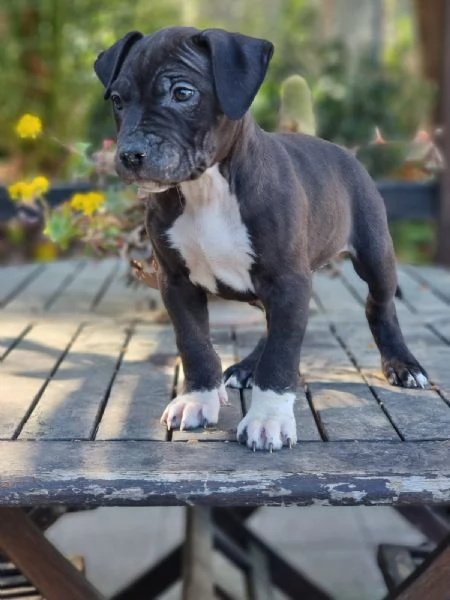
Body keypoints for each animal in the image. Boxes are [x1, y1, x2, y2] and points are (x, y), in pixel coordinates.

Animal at [94, 27, 428, 450]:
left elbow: (282, 354)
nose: (130, 153)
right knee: (269, 324)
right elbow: (195, 343)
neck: (207, 189)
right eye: (118, 101)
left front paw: (268, 419)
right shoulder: (175, 281)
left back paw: (403, 365)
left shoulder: (287, 281)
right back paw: (247, 367)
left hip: (375, 253)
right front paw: (197, 399)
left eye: (182, 93)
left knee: (378, 306)